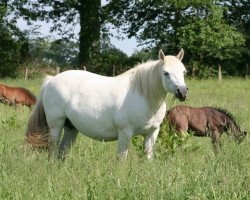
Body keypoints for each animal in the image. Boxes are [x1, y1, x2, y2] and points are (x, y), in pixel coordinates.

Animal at [26, 49, 188, 160]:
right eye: (166, 73)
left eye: (184, 71)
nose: (183, 92)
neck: (144, 97)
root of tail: (51, 80)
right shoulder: (125, 133)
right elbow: (121, 159)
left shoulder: (151, 133)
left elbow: (148, 157)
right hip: (56, 126)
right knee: (53, 150)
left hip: (71, 128)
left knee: (62, 151)